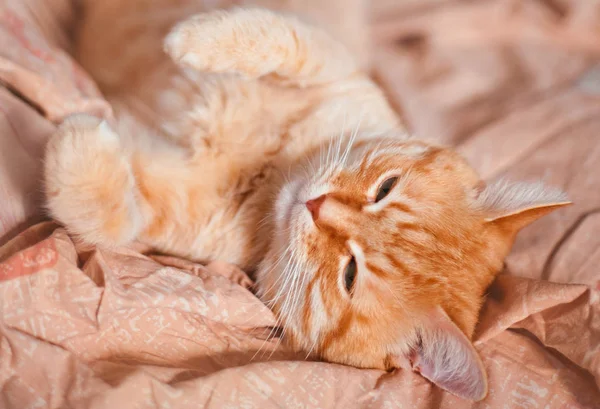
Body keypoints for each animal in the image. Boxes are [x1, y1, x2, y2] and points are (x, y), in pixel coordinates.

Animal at [44, 4, 568, 400]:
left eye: (350, 275)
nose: (317, 206)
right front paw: (193, 38)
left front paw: (77, 144)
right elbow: (281, 38)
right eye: (385, 188)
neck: (276, 174)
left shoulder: (179, 205)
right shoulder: (332, 64)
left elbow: (111, 221)